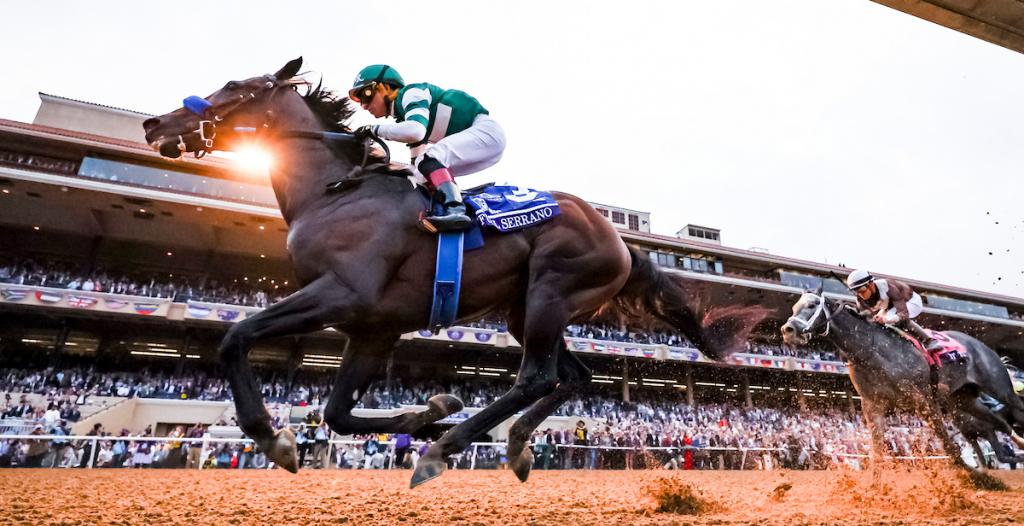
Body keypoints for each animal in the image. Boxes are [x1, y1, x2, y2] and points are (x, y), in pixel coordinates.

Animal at [141, 57, 766, 487]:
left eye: (232, 87)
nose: (152, 125)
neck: (334, 192)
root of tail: (622, 240)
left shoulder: (342, 294)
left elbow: (237, 336)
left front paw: (272, 436)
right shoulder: (373, 327)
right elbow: (337, 414)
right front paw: (430, 412)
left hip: (551, 290)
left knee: (536, 376)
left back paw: (449, 448)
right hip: (526, 309)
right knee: (573, 377)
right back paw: (511, 443)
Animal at [781, 287, 1024, 472]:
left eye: (812, 305)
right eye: (793, 308)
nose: (787, 329)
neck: (870, 351)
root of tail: (981, 345)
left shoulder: (923, 400)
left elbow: (949, 445)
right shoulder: (873, 407)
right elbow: (878, 454)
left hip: (998, 387)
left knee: (1015, 410)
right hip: (964, 399)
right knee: (999, 422)